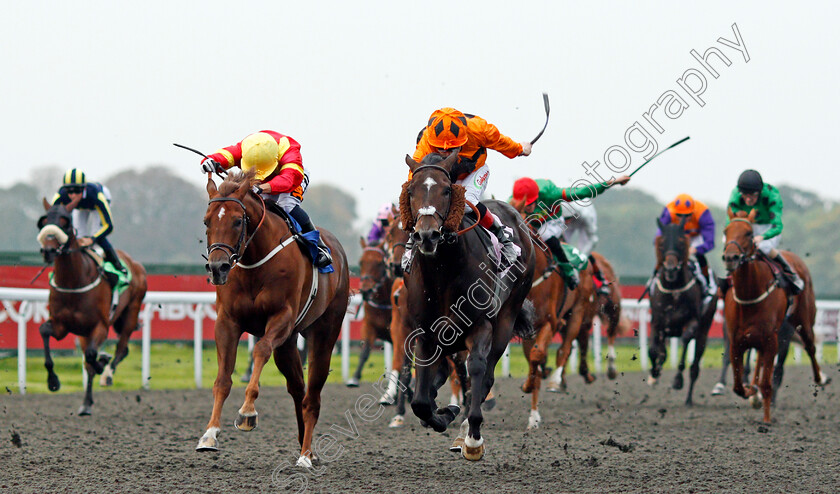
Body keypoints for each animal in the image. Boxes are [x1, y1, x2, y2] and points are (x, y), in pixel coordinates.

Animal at [35, 199, 146, 414]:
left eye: (65, 222)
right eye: (44, 221)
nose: (48, 251)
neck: (73, 281)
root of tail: (135, 264)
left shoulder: (100, 325)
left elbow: (92, 355)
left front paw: (102, 363)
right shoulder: (61, 326)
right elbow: (44, 331)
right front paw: (53, 381)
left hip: (131, 312)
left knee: (121, 348)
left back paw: (107, 374)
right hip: (83, 333)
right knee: (92, 362)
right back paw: (86, 404)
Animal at [195, 171, 350, 466]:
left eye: (237, 220)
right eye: (206, 221)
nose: (218, 267)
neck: (254, 262)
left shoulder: (282, 318)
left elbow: (260, 350)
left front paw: (247, 412)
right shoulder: (227, 322)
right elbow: (222, 380)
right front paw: (209, 434)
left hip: (324, 331)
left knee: (312, 395)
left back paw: (305, 455)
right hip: (288, 345)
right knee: (298, 389)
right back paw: (305, 447)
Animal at [398, 153, 532, 460]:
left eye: (447, 190)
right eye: (411, 192)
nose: (427, 236)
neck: (443, 271)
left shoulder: (481, 326)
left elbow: (477, 370)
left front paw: (472, 438)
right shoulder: (425, 333)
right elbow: (420, 400)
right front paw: (443, 413)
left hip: (506, 319)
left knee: (486, 376)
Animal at [648, 217, 720, 406]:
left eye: (681, 242)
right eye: (662, 243)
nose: (671, 269)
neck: (674, 291)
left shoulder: (692, 322)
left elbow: (686, 340)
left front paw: (677, 380)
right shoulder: (657, 323)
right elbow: (654, 350)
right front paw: (654, 373)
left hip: (704, 331)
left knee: (695, 367)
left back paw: (688, 399)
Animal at [720, 206, 832, 422]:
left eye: (749, 233)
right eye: (725, 231)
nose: (730, 258)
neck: (750, 295)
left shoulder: (772, 339)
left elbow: (767, 383)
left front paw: (766, 419)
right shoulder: (736, 340)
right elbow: (738, 386)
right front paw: (751, 392)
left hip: (804, 320)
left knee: (811, 347)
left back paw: (821, 377)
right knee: (759, 360)